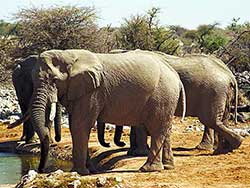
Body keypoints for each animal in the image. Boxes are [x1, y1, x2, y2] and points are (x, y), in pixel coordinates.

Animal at [28, 48, 187, 175]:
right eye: (33, 80)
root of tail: (176, 76)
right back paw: (168, 167)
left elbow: (79, 125)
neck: (69, 55)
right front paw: (91, 170)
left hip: (162, 95)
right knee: (165, 129)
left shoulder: (92, 92)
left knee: (157, 129)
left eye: (55, 80)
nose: (40, 170)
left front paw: (79, 172)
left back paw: (148, 169)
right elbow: (77, 126)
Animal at [98, 50, 243, 156]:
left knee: (210, 119)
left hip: (213, 91)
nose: (118, 143)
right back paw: (222, 149)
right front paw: (133, 152)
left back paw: (213, 148)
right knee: (221, 119)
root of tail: (229, 73)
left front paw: (137, 153)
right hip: (222, 92)